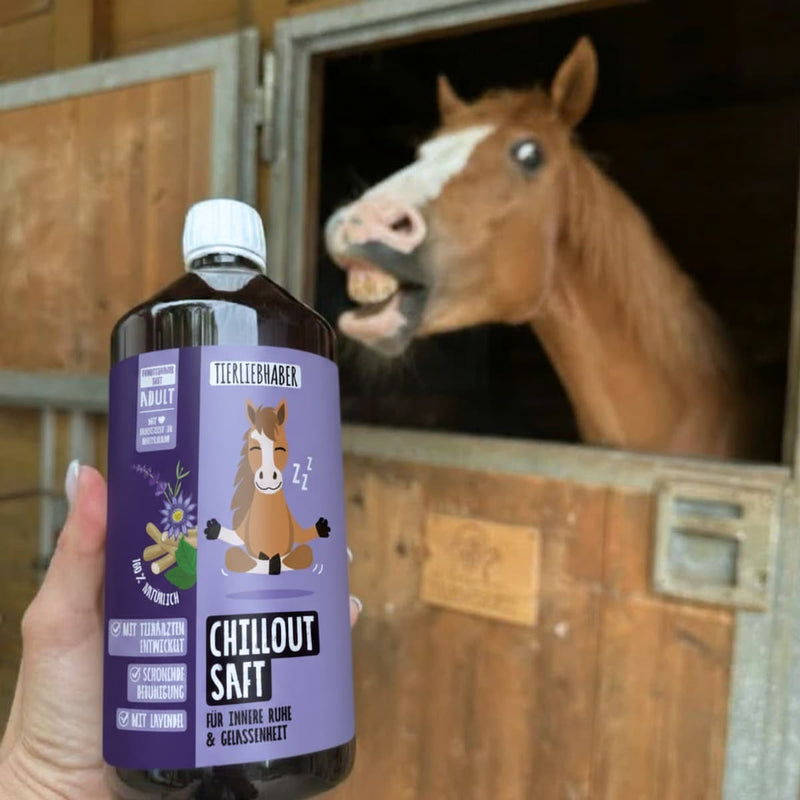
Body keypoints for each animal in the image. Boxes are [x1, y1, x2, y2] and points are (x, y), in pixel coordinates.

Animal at [204, 399, 330, 574]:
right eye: (253, 448)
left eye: (281, 448)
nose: (269, 478)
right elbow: (235, 539)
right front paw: (214, 528)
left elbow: (302, 536)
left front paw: (321, 527)